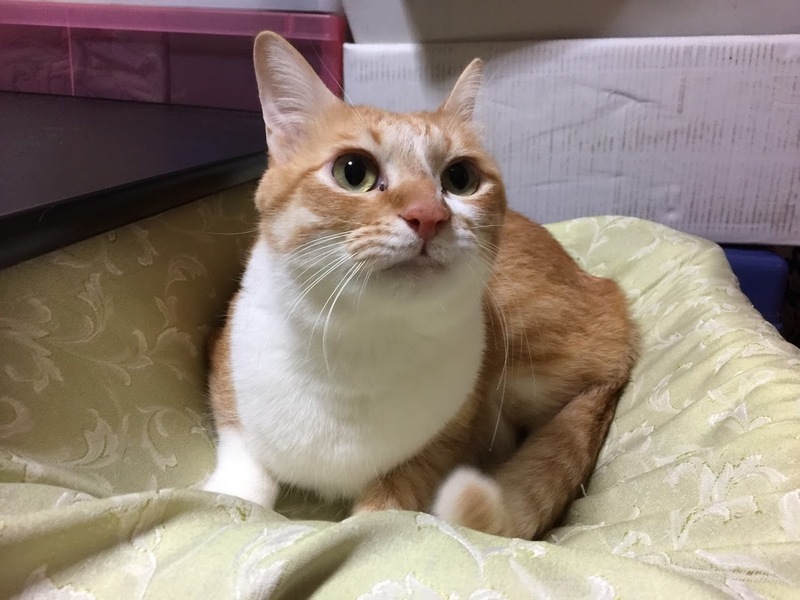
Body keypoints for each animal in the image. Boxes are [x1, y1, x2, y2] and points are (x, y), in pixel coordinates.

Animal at [201, 31, 638, 540]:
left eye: (460, 178)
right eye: (354, 171)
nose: (428, 215)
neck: (362, 344)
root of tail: (612, 297)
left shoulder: (443, 443)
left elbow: (385, 511)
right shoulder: (225, 369)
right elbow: (245, 474)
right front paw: (230, 497)